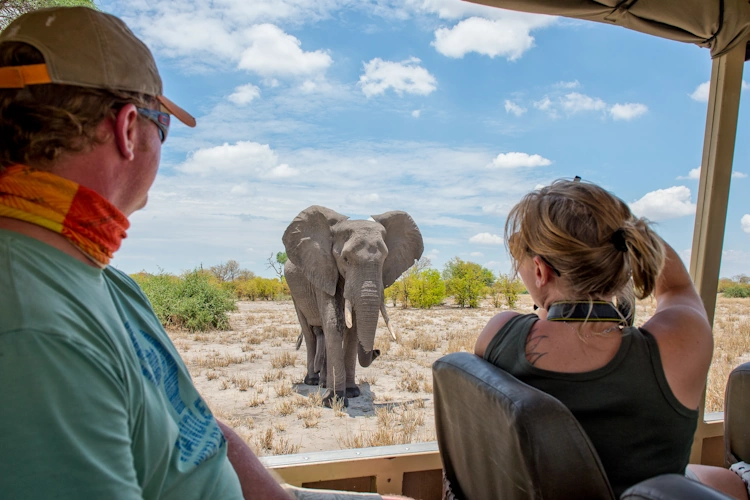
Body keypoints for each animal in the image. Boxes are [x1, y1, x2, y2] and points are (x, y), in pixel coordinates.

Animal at [284, 205, 424, 408]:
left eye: (385, 260)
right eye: (345, 259)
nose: (377, 351)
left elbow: (353, 329)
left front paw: (351, 392)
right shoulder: (323, 269)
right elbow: (333, 323)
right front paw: (334, 400)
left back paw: (323, 382)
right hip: (295, 293)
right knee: (310, 334)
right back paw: (312, 381)